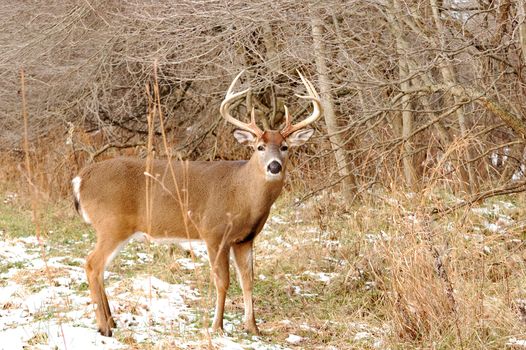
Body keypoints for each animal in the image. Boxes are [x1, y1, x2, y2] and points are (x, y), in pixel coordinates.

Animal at [72, 70, 324, 336]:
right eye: (259, 147)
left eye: (285, 147)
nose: (274, 166)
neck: (242, 194)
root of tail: (80, 179)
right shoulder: (213, 232)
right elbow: (223, 281)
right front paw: (217, 327)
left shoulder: (245, 239)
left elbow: (248, 280)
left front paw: (253, 327)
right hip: (112, 224)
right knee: (92, 264)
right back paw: (104, 327)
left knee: (99, 268)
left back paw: (111, 322)